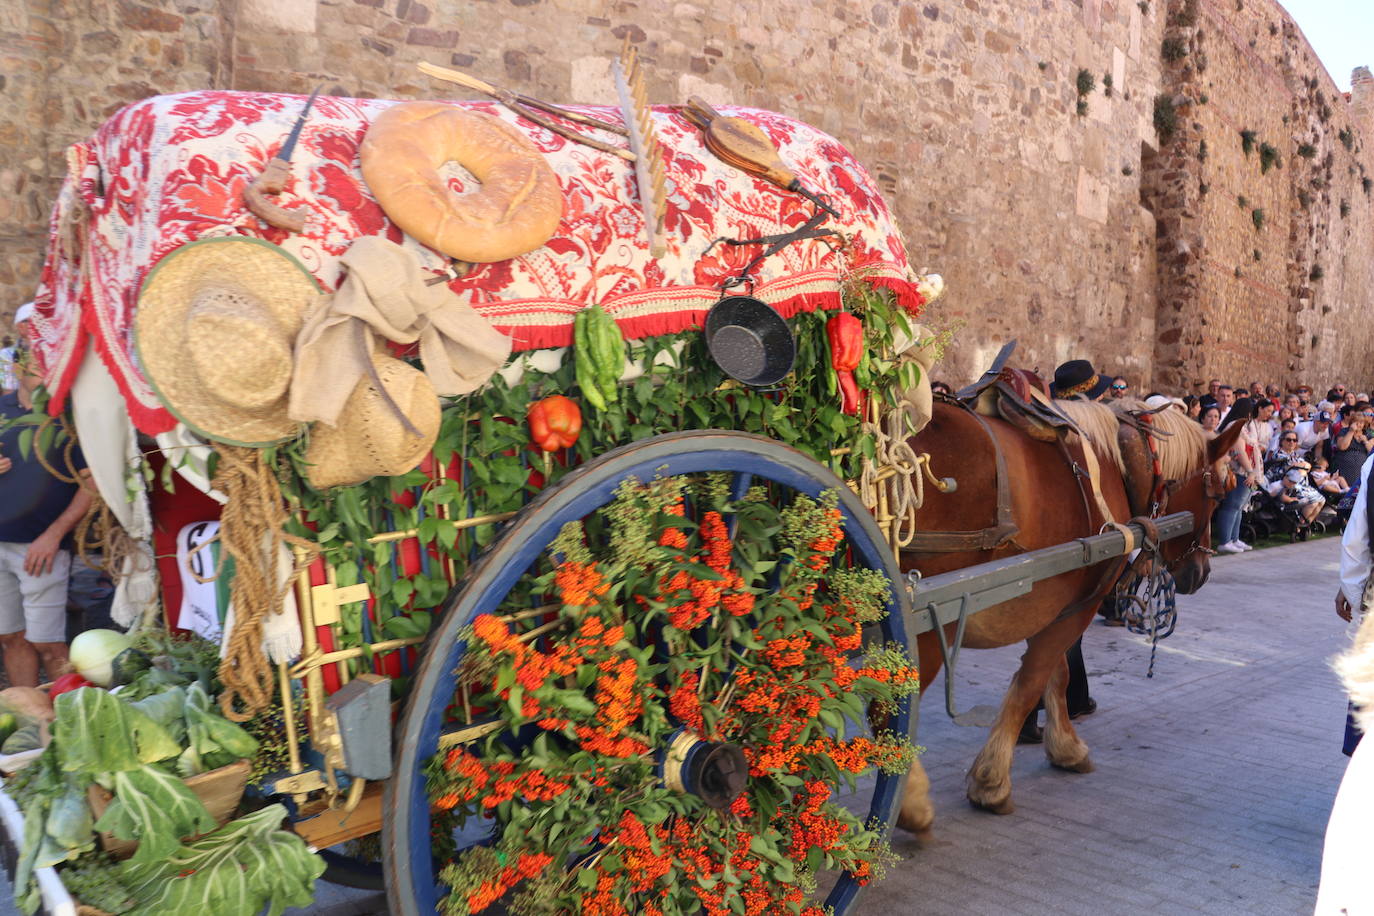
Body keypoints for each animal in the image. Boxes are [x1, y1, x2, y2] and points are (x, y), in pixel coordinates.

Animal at [895, 395, 1242, 829]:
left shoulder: (1049, 597)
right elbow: (1032, 679)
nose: (1201, 572)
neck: (1116, 461)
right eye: (1218, 493)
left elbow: (1056, 673)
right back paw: (910, 800)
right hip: (924, 615)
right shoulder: (1081, 603)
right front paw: (992, 780)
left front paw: (1063, 746)